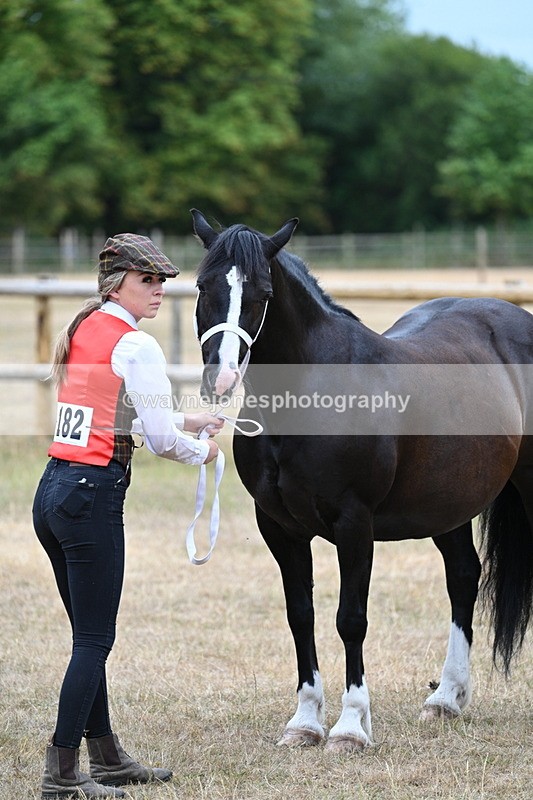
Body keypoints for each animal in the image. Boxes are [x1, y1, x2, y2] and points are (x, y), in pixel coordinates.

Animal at [190, 209, 533, 752]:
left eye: (263, 293)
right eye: (203, 286)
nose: (219, 380)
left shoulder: (354, 525)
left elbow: (350, 619)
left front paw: (350, 726)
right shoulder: (280, 528)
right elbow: (300, 616)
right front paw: (304, 722)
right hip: (446, 505)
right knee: (463, 576)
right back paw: (445, 698)